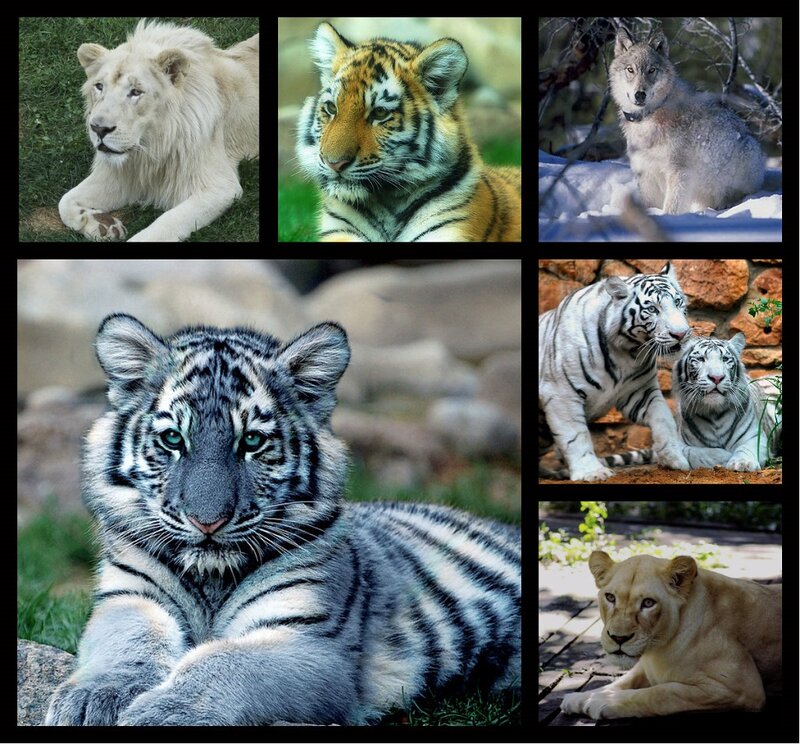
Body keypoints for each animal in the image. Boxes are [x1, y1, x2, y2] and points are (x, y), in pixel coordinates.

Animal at [45, 314, 520, 726]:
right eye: (173, 439)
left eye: (252, 441)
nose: (207, 522)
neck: (211, 578)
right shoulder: (129, 598)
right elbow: (128, 642)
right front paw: (94, 698)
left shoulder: (311, 645)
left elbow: (223, 661)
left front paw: (163, 715)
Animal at [59, 20, 259, 242]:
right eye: (99, 86)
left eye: (136, 92)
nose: (99, 128)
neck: (152, 148)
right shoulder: (124, 174)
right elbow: (65, 201)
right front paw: (103, 226)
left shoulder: (221, 186)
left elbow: (164, 224)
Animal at [539, 263, 692, 482]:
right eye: (652, 309)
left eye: (678, 303)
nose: (680, 334)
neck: (626, 351)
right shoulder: (561, 393)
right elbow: (575, 434)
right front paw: (592, 472)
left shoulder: (640, 391)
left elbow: (664, 419)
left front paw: (674, 458)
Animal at [560, 550, 781, 719]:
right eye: (610, 597)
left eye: (648, 603)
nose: (618, 638)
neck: (657, 649)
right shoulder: (644, 668)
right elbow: (624, 681)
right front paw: (582, 697)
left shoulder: (741, 687)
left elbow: (660, 693)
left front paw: (602, 701)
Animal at [673, 332, 782, 470]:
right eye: (701, 359)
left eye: (725, 359)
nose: (717, 378)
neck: (713, 413)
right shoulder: (677, 443)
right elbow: (695, 452)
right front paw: (725, 457)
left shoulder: (754, 437)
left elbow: (745, 448)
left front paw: (742, 463)